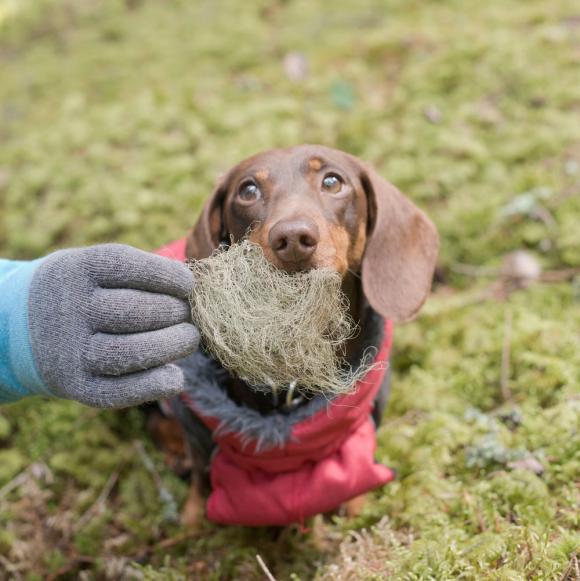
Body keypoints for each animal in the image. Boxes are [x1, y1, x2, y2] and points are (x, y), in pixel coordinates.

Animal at [150, 144, 440, 524]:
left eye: (332, 181)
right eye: (248, 190)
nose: (292, 239)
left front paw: (354, 508)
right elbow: (201, 468)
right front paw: (193, 517)